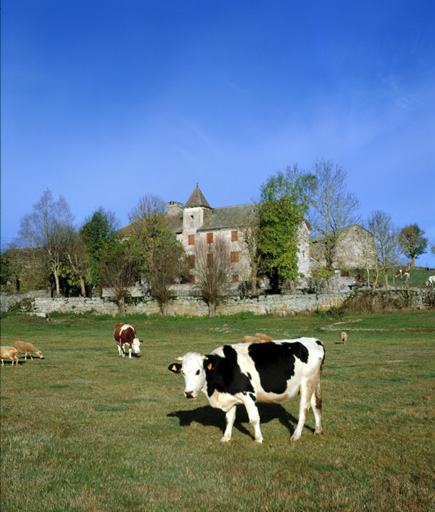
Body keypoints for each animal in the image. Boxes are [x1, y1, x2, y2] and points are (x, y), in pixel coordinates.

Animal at [169, 338, 326, 442]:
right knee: (316, 405)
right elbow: (229, 419)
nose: (188, 393)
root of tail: (314, 340)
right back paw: (318, 431)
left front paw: (258, 439)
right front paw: (225, 438)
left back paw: (296, 435)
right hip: (314, 382)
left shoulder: (248, 395)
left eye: (198, 371)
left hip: (307, 382)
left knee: (304, 409)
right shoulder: (230, 396)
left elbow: (254, 419)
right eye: (182, 372)